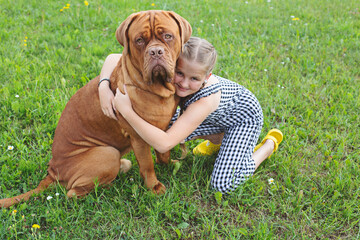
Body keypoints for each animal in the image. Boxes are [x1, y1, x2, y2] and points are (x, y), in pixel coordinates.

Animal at [0, 9, 191, 208]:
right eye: (139, 40)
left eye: (168, 36)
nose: (155, 51)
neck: (158, 91)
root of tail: (53, 171)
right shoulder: (138, 137)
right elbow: (147, 165)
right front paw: (154, 187)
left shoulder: (163, 129)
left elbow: (163, 152)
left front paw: (168, 164)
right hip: (107, 153)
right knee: (73, 193)